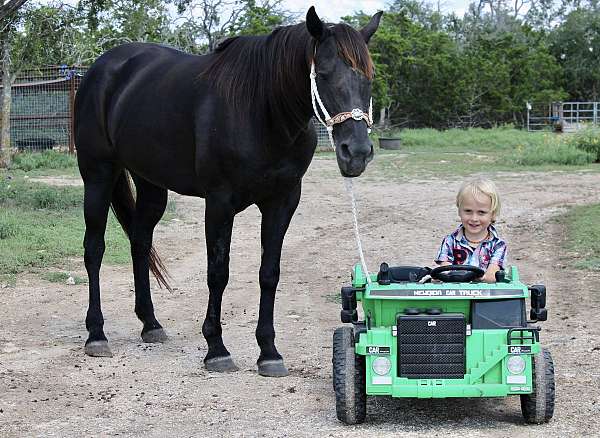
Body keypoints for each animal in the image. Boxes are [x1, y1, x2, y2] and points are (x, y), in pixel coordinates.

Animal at [75, 6, 382, 376]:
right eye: (322, 73)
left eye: (369, 76)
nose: (357, 152)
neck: (261, 111)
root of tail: (102, 68)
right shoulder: (220, 203)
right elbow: (218, 273)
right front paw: (216, 349)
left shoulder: (282, 202)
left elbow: (269, 273)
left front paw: (269, 352)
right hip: (98, 175)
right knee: (94, 249)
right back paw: (96, 335)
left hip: (151, 183)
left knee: (140, 243)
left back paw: (151, 324)